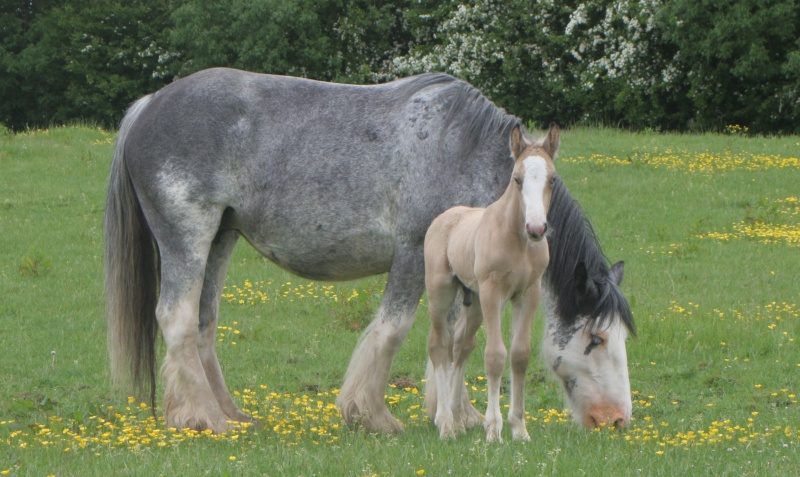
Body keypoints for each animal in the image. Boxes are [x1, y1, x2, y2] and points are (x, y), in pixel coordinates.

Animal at [424, 123, 556, 442]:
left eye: (553, 180)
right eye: (517, 179)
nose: (536, 228)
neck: (517, 242)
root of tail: (446, 215)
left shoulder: (528, 293)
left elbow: (520, 355)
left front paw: (519, 428)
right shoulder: (493, 292)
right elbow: (495, 355)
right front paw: (493, 429)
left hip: (473, 302)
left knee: (461, 345)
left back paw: (458, 419)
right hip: (441, 292)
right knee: (439, 344)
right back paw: (445, 423)